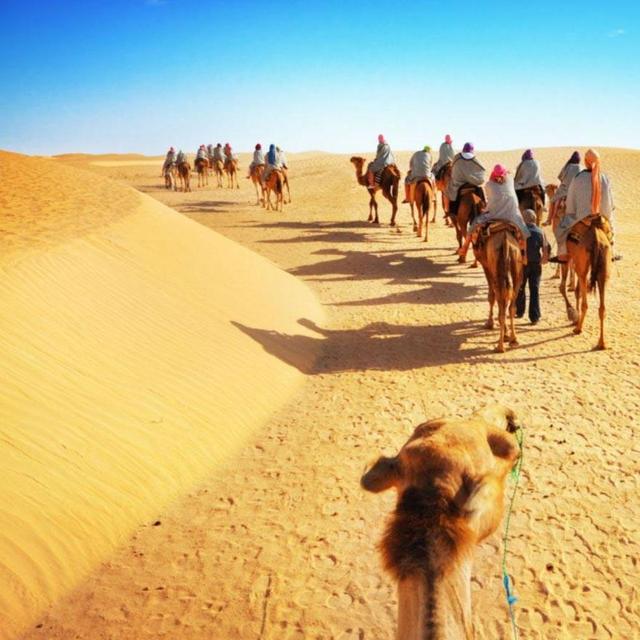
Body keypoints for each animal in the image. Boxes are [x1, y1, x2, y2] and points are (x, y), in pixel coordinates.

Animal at [559, 216, 611, 350]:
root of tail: (596, 237)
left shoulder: (567, 258)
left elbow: (563, 287)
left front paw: (572, 314)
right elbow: (577, 290)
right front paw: (574, 315)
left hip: (581, 265)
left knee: (584, 302)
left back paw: (578, 329)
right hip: (603, 269)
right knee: (602, 307)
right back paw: (602, 343)